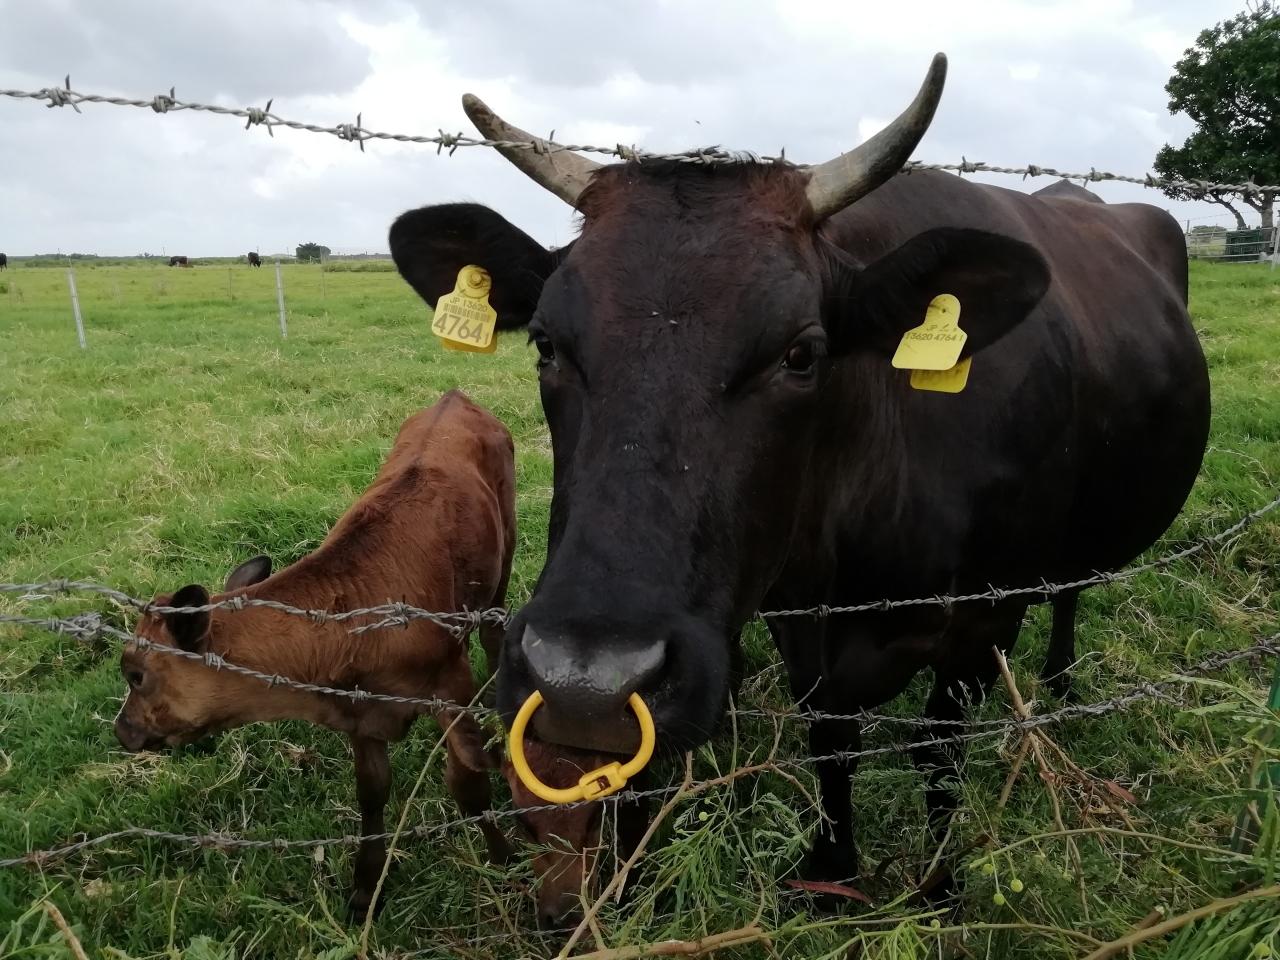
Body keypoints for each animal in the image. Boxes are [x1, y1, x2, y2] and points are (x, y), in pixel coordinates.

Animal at [117, 391, 517, 926]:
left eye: (135, 674)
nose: (122, 731)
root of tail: (454, 397)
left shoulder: (450, 686)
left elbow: (469, 784)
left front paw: (505, 858)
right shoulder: (362, 715)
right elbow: (372, 797)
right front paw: (364, 893)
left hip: (503, 555)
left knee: (495, 632)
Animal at [386, 52, 1208, 906]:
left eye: (802, 352)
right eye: (545, 343)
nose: (588, 686)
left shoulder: (986, 618)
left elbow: (939, 752)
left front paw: (937, 884)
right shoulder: (796, 617)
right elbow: (830, 740)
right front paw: (831, 868)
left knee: (1073, 588)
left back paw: (1062, 680)